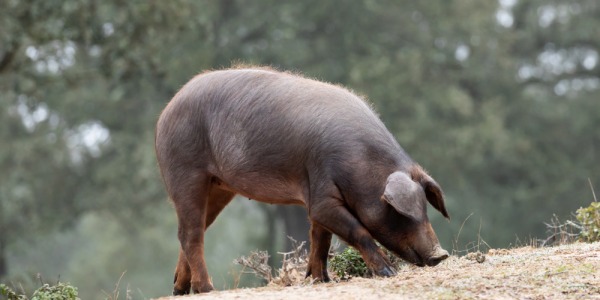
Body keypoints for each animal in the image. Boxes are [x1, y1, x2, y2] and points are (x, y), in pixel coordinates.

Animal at [155, 67, 450, 294]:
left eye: (425, 207)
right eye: (399, 212)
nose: (441, 254)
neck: (361, 165)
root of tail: (165, 111)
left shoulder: (319, 197)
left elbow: (321, 239)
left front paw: (321, 280)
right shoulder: (322, 197)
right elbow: (356, 230)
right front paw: (388, 272)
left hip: (218, 187)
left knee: (195, 229)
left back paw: (180, 290)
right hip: (185, 171)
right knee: (190, 233)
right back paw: (207, 289)